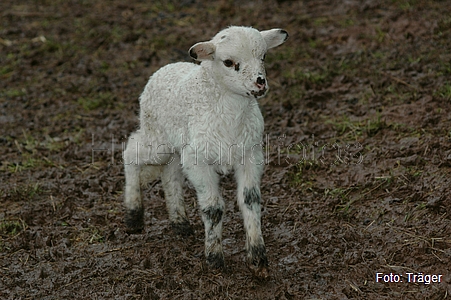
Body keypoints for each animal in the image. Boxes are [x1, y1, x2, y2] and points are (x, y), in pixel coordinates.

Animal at [122, 25, 288, 276]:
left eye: (264, 56)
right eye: (228, 62)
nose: (260, 83)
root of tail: (163, 69)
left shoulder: (250, 154)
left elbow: (250, 200)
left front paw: (258, 258)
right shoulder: (197, 160)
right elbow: (213, 208)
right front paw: (214, 258)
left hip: (176, 145)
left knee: (170, 175)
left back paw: (180, 223)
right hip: (157, 137)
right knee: (131, 151)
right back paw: (133, 215)